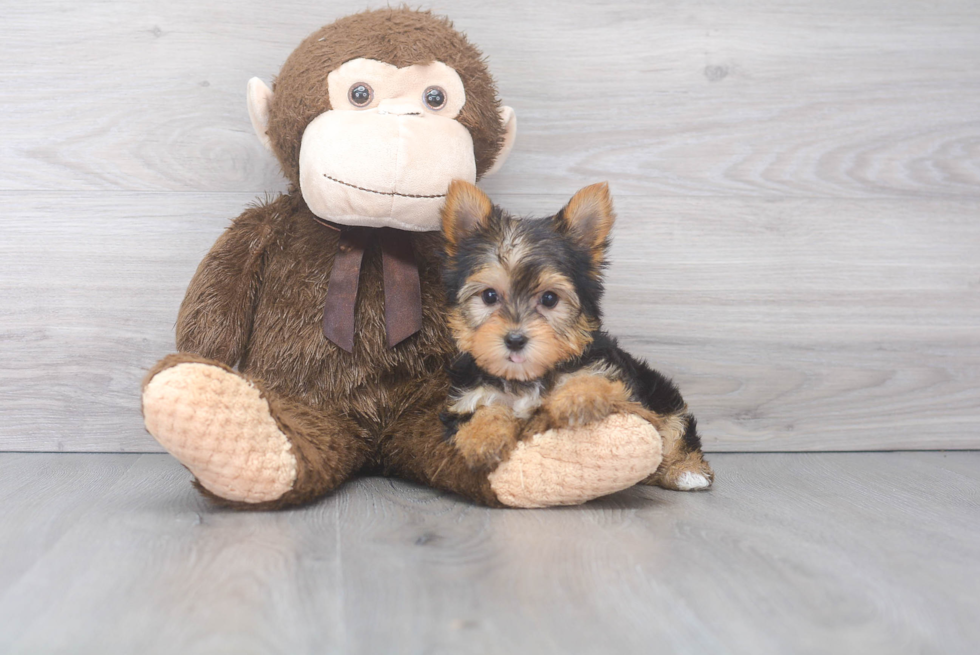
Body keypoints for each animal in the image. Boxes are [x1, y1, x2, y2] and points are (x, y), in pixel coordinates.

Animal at [440, 179, 716, 492]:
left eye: (549, 299)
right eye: (489, 296)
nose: (515, 340)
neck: (528, 379)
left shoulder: (622, 387)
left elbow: (596, 382)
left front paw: (573, 399)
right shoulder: (465, 400)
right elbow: (481, 411)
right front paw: (483, 438)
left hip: (660, 393)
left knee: (676, 428)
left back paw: (686, 470)